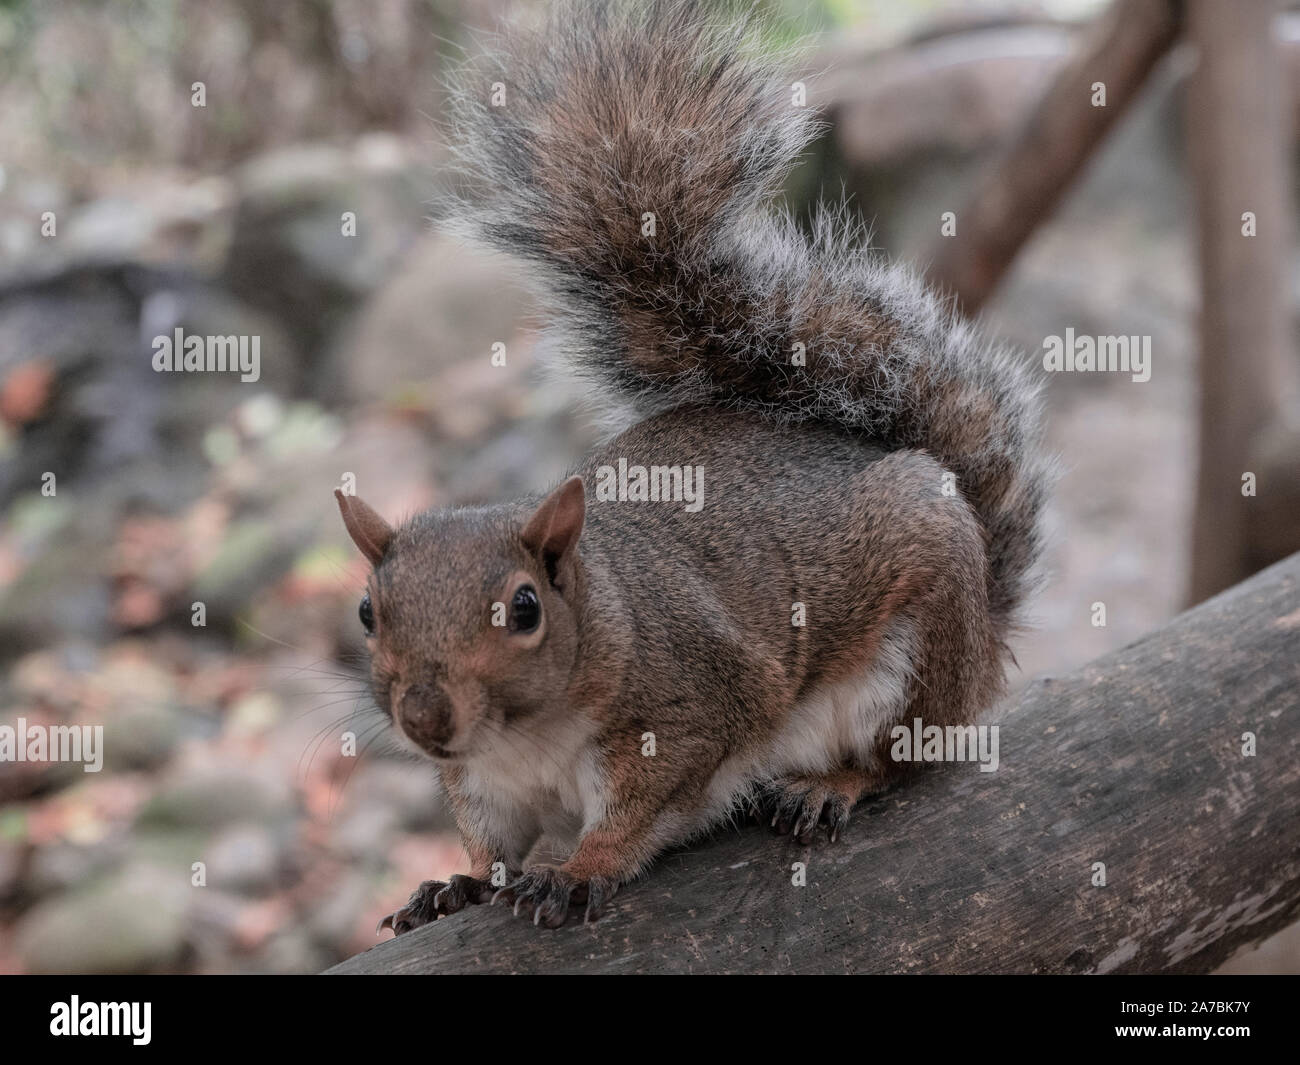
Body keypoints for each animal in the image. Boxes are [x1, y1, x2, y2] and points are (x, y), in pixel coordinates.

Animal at [335, 0, 1052, 931]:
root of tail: (986, 637)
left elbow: (639, 812)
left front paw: (577, 869)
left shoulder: (690, 711)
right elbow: (488, 841)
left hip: (918, 649)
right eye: (366, 612)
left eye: (524, 608)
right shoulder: (482, 783)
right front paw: (459, 883)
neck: (524, 737)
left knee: (901, 760)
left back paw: (827, 785)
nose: (424, 716)